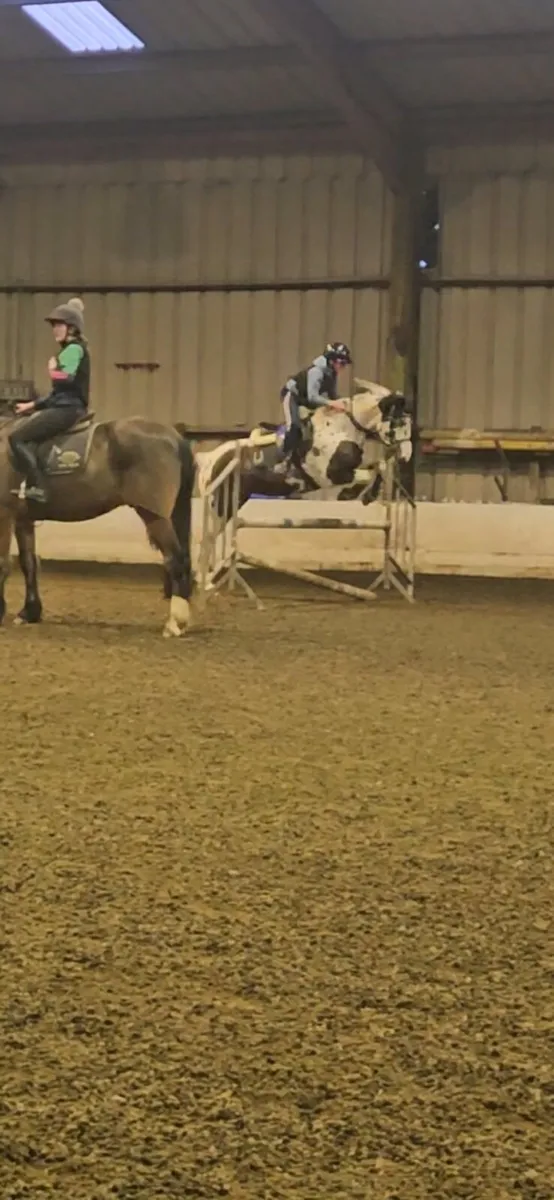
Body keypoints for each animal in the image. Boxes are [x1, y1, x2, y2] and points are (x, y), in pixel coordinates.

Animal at [0, 405, 196, 638]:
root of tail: (174, 436)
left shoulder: (4, 513)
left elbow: (3, 562)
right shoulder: (23, 519)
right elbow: (28, 563)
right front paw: (29, 613)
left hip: (154, 515)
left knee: (176, 560)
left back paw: (174, 624)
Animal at [195, 379, 414, 519]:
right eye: (399, 422)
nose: (406, 456)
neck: (341, 427)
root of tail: (208, 459)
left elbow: (379, 465)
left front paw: (366, 496)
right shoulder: (331, 476)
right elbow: (370, 472)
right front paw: (355, 495)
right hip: (220, 507)